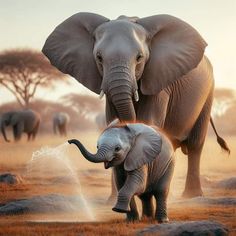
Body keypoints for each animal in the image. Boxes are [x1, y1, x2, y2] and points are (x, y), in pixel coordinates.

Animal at [42, 12, 229, 197]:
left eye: (139, 58)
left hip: (208, 93)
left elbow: (148, 121)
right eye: (99, 58)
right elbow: (111, 121)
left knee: (196, 144)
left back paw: (192, 195)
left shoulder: (159, 81)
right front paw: (112, 199)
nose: (69, 141)